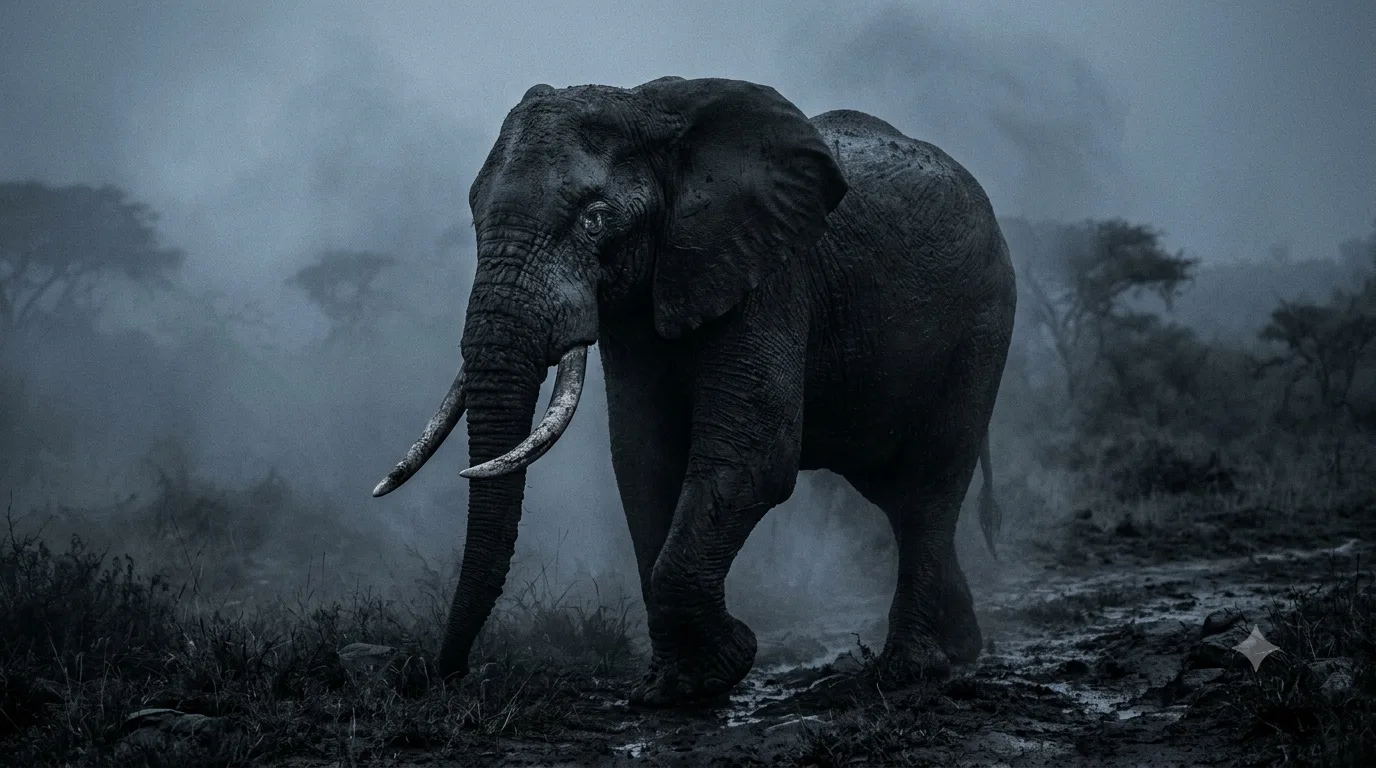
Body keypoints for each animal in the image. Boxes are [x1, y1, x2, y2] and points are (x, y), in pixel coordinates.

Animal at [372, 76, 1017, 708]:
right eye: (475, 216)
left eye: (595, 218)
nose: (443, 677)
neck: (650, 112)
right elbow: (642, 459)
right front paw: (675, 686)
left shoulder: (771, 275)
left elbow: (755, 458)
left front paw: (728, 659)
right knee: (895, 494)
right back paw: (960, 649)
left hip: (983, 323)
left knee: (932, 483)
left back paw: (910, 671)